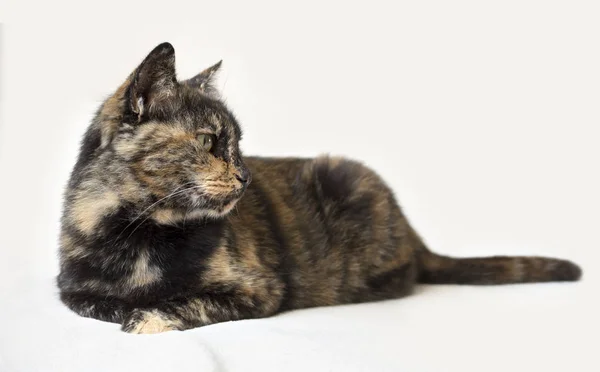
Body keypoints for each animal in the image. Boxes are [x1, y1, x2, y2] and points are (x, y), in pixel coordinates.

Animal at [57, 43, 580, 334]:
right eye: (209, 142)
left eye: (239, 145)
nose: (246, 176)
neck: (141, 231)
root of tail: (413, 232)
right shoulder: (69, 289)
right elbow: (94, 303)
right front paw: (127, 306)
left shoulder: (259, 290)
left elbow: (184, 302)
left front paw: (146, 316)